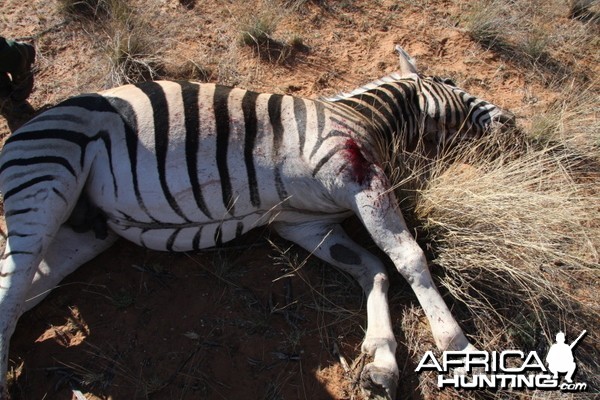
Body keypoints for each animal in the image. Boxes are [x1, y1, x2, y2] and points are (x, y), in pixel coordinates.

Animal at [0, 46, 516, 396]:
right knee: (11, 293)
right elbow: (408, 257)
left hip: (83, 231)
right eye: (452, 81)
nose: (511, 121)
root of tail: (27, 127)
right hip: (46, 181)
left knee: (22, 292)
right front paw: (461, 350)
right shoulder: (358, 176)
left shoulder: (304, 223)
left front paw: (382, 360)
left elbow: (373, 269)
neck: (362, 116)